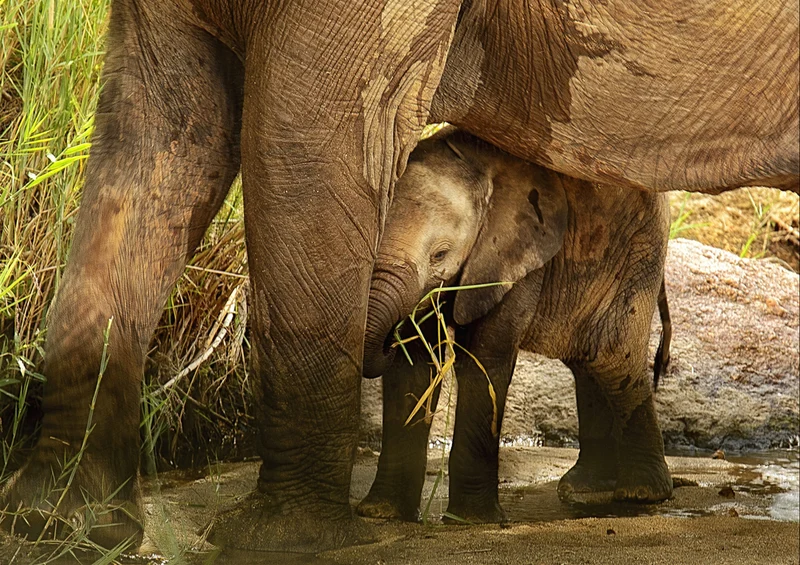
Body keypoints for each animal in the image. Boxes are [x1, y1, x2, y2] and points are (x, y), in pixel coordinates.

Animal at [358, 128, 672, 522]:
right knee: (589, 364)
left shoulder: (517, 253)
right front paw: (381, 513)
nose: (387, 337)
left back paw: (641, 494)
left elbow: (485, 356)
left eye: (440, 255)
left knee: (613, 359)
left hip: (638, 254)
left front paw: (471, 521)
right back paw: (586, 490)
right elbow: (414, 365)